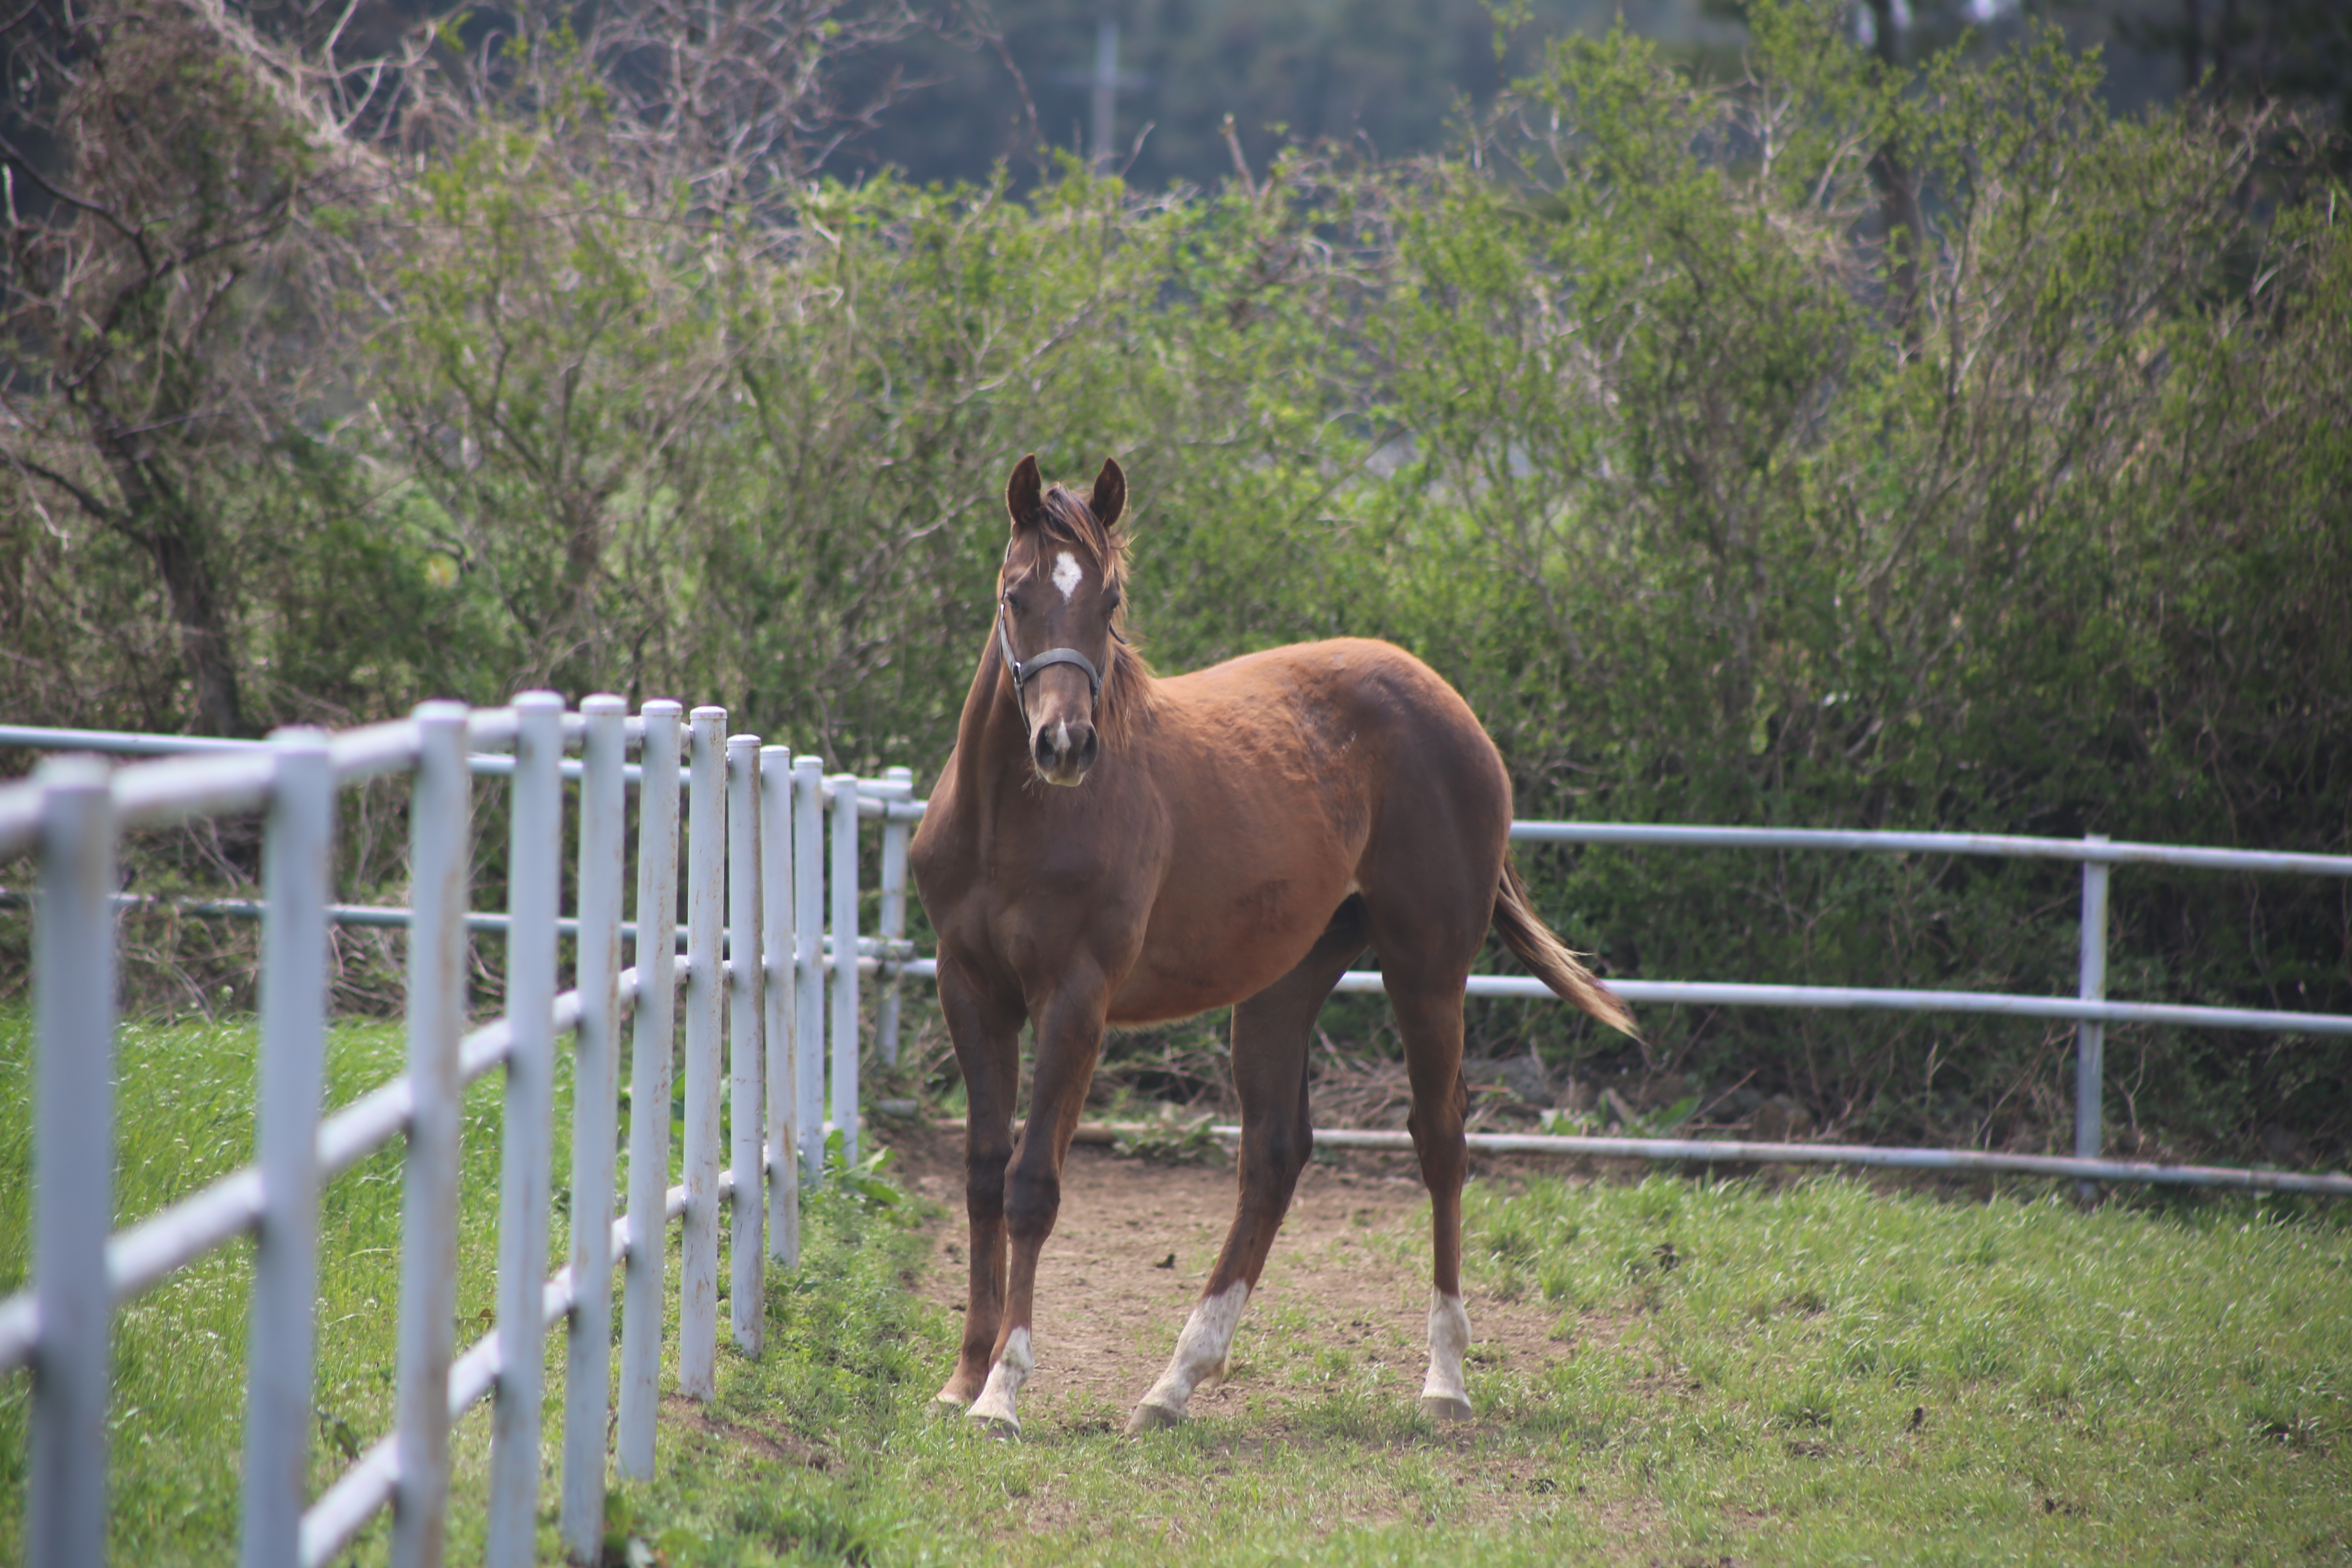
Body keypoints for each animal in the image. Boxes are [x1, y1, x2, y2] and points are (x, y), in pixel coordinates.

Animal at [903, 454, 1637, 1439]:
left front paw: (1002, 1393)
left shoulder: (1075, 1003)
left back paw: (1444, 1377)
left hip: (1427, 968)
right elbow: (984, 1176)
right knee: (1274, 1158)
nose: (1064, 744)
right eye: (1016, 595)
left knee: (1440, 1141)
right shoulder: (970, 989)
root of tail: (1447, 702)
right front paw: (960, 1379)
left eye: (1110, 599)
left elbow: (1033, 1186)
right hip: (1283, 987)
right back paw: (1174, 1384)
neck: (1013, 824)